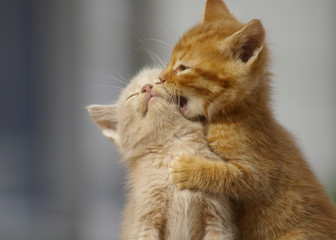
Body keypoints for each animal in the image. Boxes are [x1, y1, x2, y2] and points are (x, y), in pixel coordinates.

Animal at [86, 67, 236, 240]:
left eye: (159, 81)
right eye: (132, 96)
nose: (147, 87)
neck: (175, 146)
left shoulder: (218, 221)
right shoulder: (145, 223)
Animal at [159, 0, 336, 239]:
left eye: (183, 67)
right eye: (170, 61)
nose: (160, 77)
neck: (234, 113)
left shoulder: (258, 174)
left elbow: (230, 177)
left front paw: (188, 168)